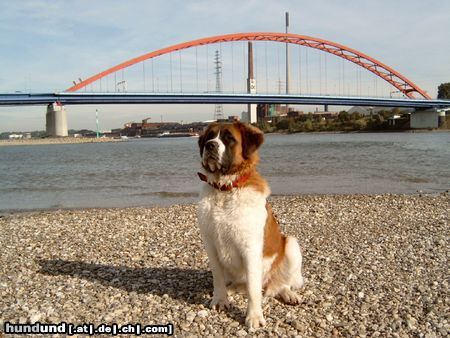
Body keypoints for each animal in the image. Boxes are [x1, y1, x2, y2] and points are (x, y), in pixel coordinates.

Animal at [196, 121, 302, 328]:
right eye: (209, 137)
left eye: (229, 138)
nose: (210, 146)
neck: (225, 190)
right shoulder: (210, 245)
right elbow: (217, 277)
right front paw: (220, 299)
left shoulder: (250, 248)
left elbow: (254, 290)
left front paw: (253, 317)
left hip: (292, 245)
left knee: (279, 284)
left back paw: (288, 294)